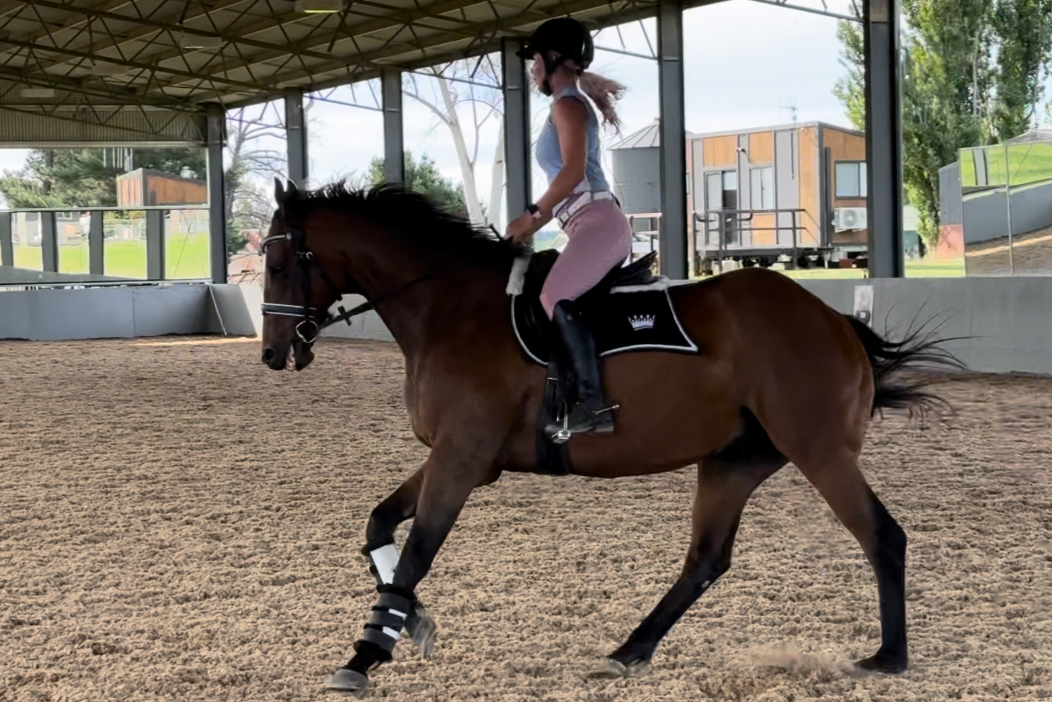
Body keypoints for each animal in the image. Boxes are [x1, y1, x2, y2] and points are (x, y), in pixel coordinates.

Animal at [258, 178, 963, 696]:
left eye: (277, 260)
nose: (272, 352)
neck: (448, 307)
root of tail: (835, 321)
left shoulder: (461, 459)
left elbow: (416, 551)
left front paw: (367, 652)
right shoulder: (461, 460)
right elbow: (379, 525)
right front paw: (411, 622)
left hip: (817, 452)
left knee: (881, 536)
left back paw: (889, 657)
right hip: (733, 461)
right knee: (706, 559)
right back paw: (630, 650)